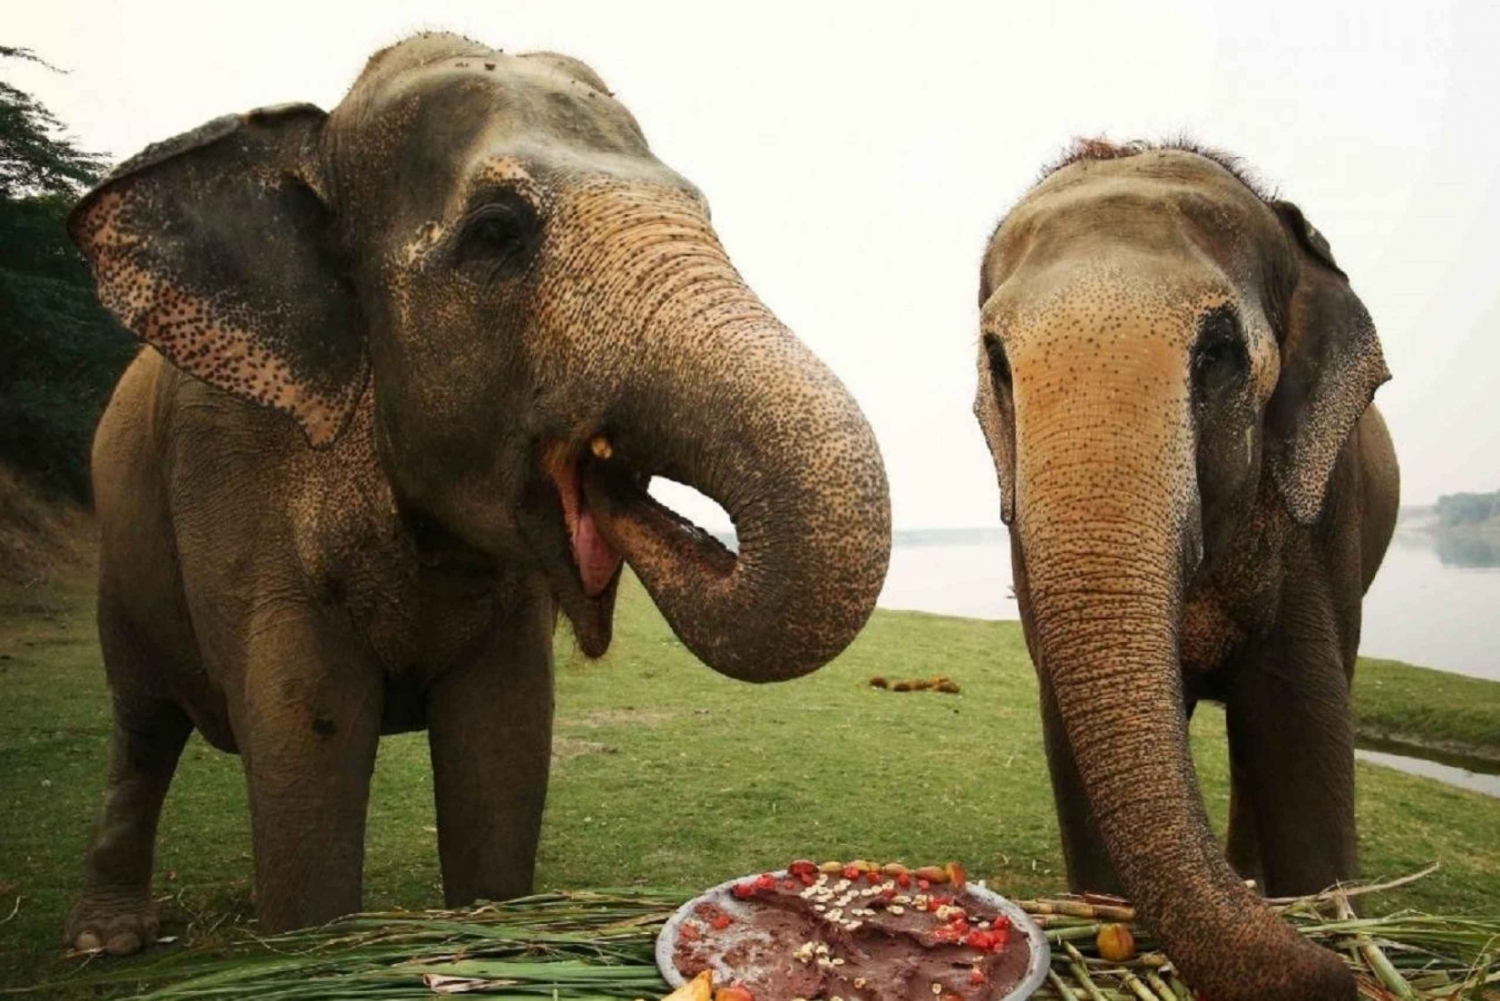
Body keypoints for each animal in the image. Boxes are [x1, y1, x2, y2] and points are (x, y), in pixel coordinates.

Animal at [64, 31, 888, 954]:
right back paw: (106, 939)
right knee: (140, 725)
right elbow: (305, 734)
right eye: (497, 231)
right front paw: (314, 953)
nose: (693, 534)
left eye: (703, 211)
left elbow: (503, 737)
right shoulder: (233, 463)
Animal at [978, 141, 1398, 1001]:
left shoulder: (1318, 515)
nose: (1340, 975)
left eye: (1217, 353)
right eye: (997, 362)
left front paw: (1331, 919)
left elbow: (1301, 722)